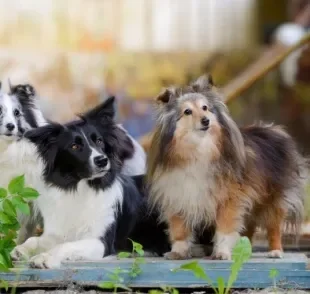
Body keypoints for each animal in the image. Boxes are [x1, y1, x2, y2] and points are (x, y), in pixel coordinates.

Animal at [147, 74, 306, 260]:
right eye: (187, 111)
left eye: (205, 108)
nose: (206, 120)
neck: (199, 148)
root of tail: (271, 129)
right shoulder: (178, 196)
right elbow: (179, 230)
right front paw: (178, 252)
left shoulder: (230, 199)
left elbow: (225, 229)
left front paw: (222, 253)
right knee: (249, 228)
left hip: (272, 199)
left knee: (274, 226)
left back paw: (275, 251)